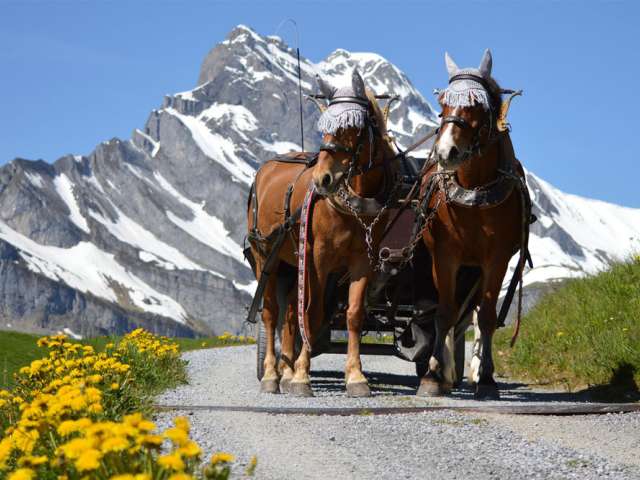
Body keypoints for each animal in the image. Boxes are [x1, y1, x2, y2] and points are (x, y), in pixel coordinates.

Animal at [247, 69, 397, 397]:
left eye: (352, 127)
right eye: (325, 128)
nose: (322, 179)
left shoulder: (362, 261)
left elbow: (354, 315)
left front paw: (355, 377)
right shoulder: (318, 259)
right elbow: (312, 313)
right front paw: (302, 377)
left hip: (293, 263)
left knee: (290, 312)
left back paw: (286, 371)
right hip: (267, 256)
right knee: (271, 312)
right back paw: (272, 374)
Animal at [417, 49, 528, 399]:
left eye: (479, 107)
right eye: (442, 105)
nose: (446, 152)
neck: (473, 195)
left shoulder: (497, 259)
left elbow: (489, 316)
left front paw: (487, 378)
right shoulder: (445, 255)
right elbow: (444, 313)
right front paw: (433, 375)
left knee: (475, 315)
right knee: (456, 314)